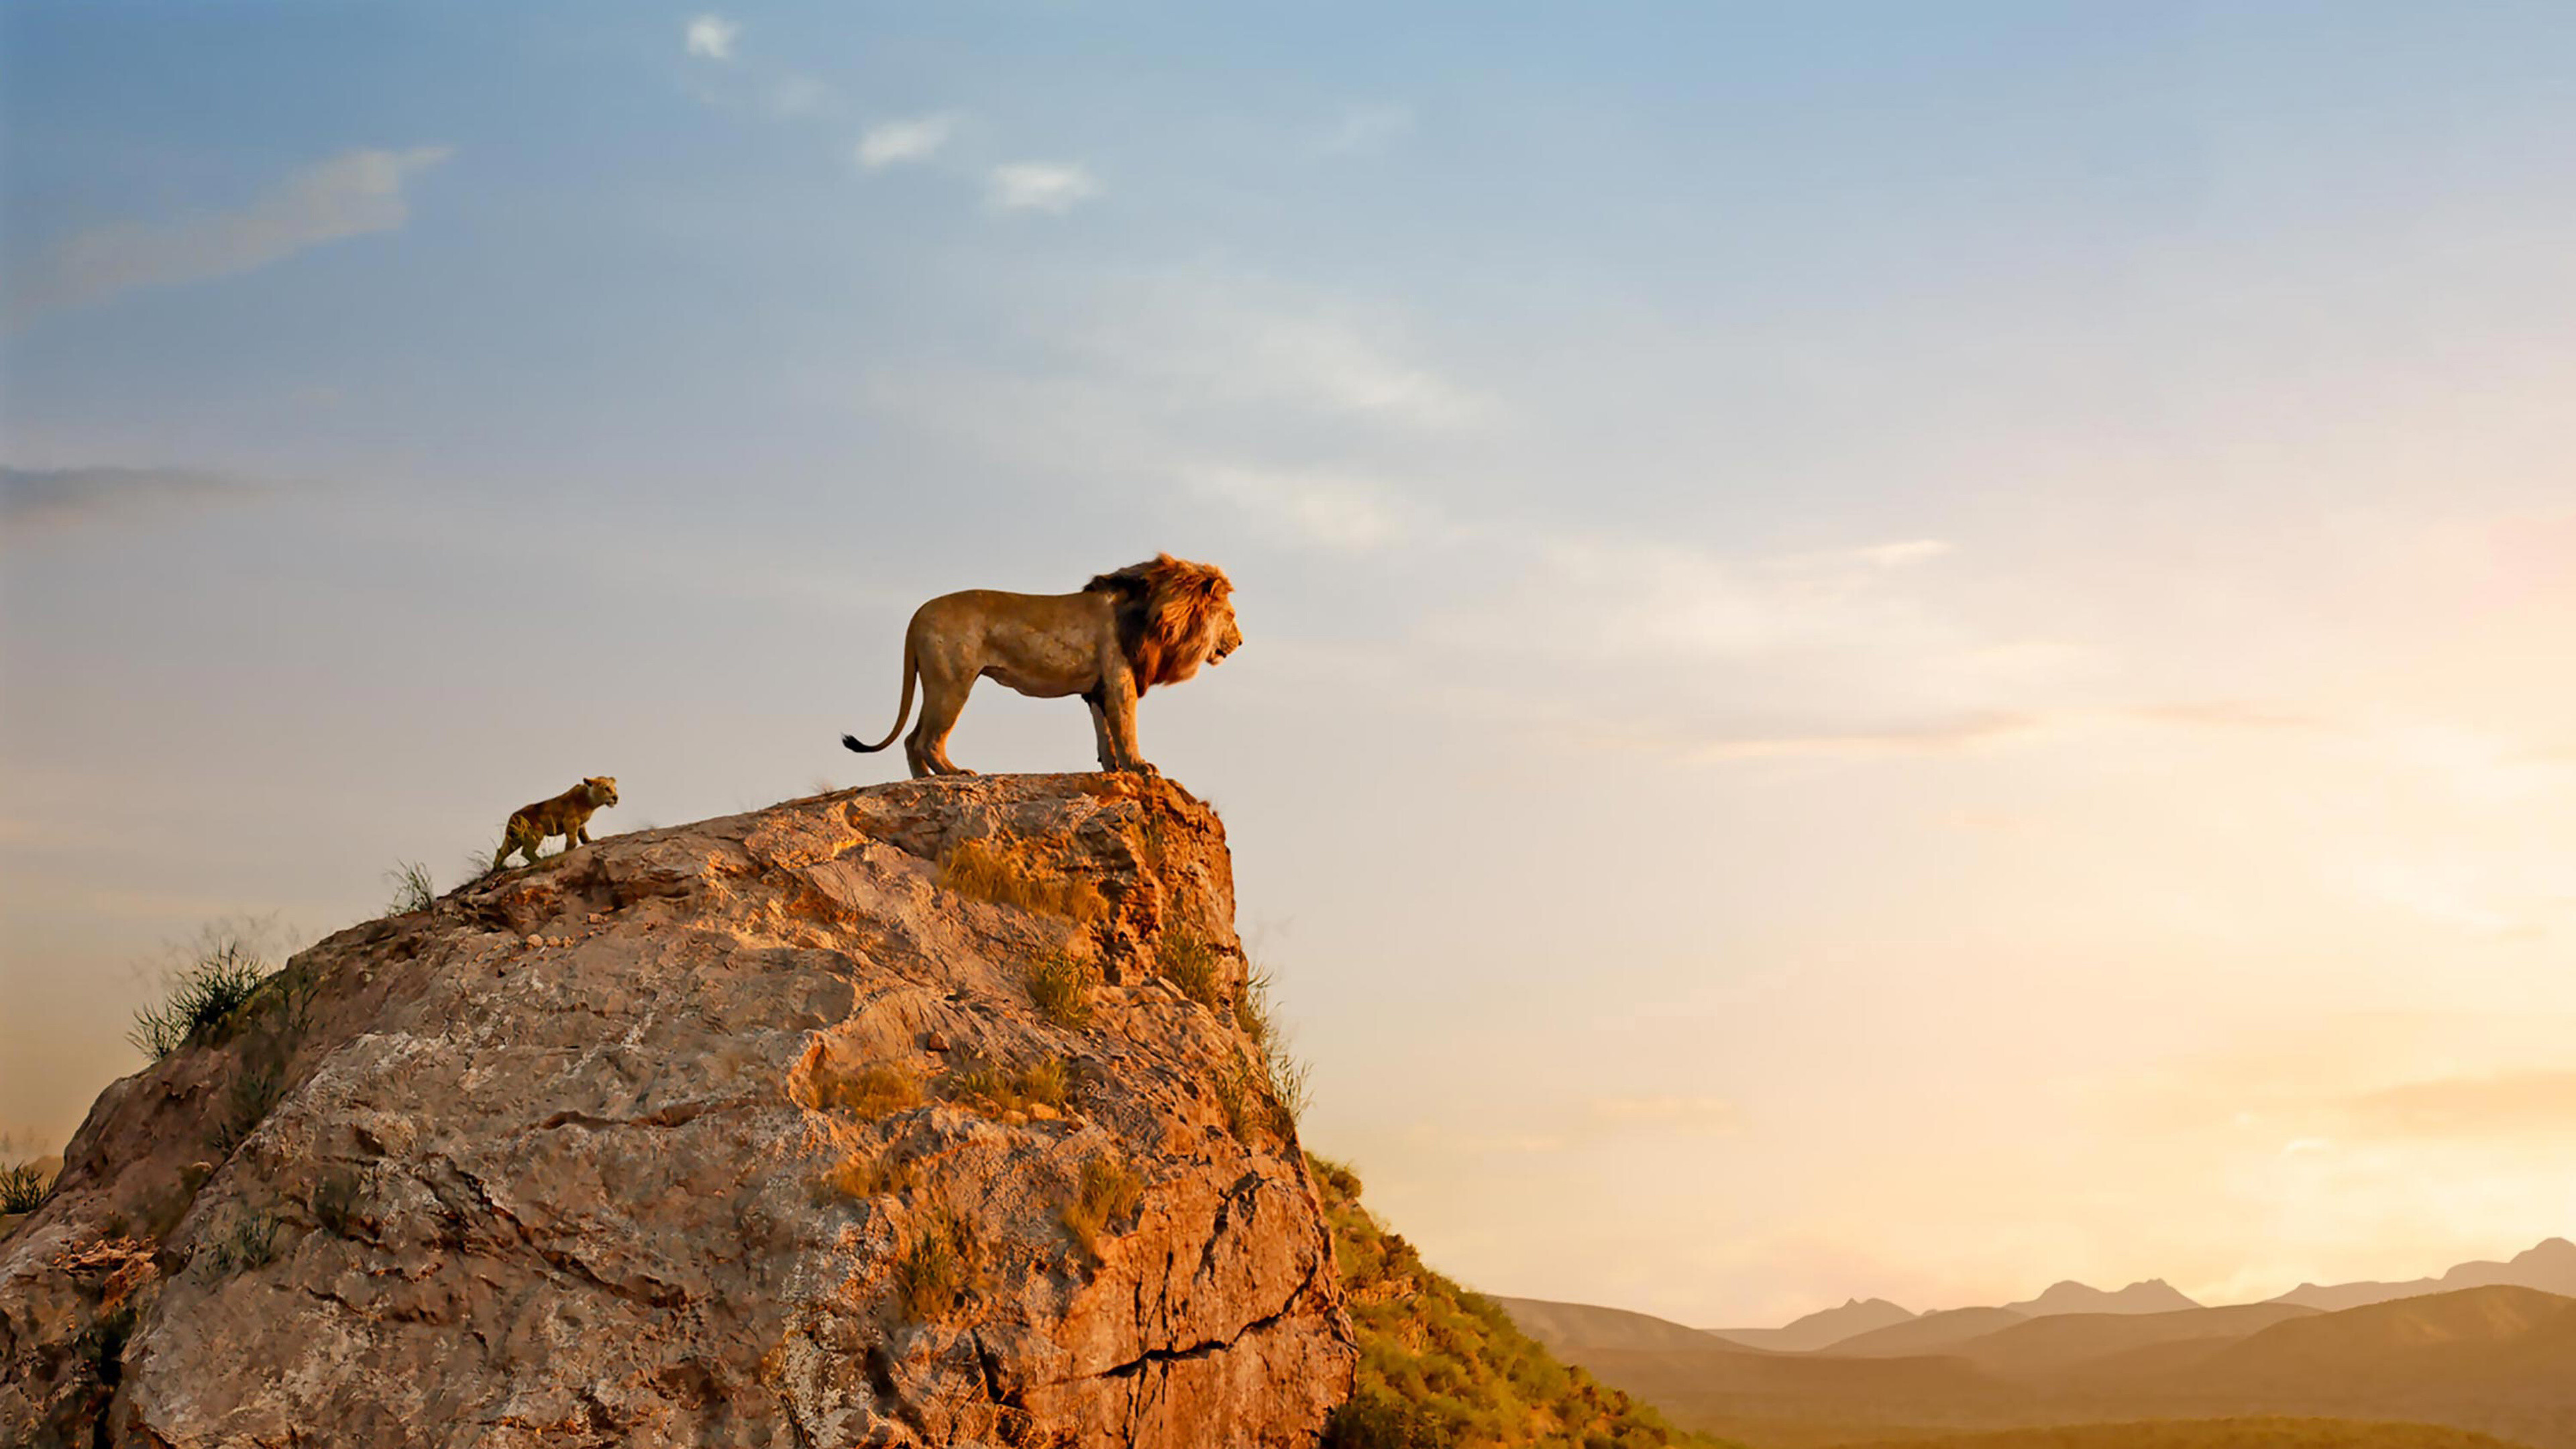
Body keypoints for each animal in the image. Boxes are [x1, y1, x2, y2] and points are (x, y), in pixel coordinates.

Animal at [491, 777, 618, 871]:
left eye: (615, 788)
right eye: (607, 788)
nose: (616, 798)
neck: (590, 802)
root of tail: (514, 816)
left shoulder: (581, 824)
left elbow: (583, 835)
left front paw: (590, 841)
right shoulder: (570, 820)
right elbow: (572, 838)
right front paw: (567, 851)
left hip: (513, 838)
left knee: (501, 851)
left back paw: (499, 868)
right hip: (537, 832)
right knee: (526, 851)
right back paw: (540, 860)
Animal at [842, 554, 1242, 779]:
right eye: (1231, 616)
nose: (1240, 642)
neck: (1154, 614)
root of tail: (917, 615)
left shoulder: (1098, 688)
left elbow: (1105, 733)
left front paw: (1113, 769)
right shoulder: (1120, 680)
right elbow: (1126, 729)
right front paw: (1140, 767)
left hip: (935, 683)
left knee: (911, 739)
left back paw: (926, 782)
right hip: (954, 684)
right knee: (927, 740)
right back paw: (955, 775)